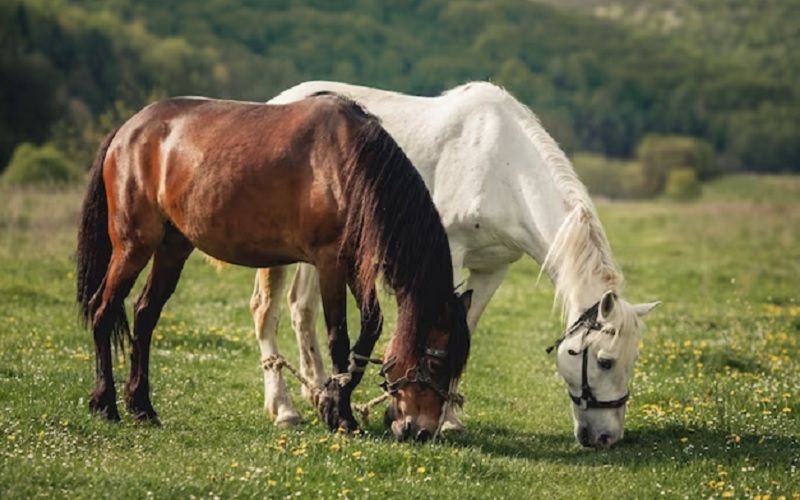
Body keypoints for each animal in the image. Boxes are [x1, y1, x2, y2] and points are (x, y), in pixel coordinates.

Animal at [74, 94, 468, 442]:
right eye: (436, 362)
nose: (422, 431)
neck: (350, 164)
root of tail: (127, 130)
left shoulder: (355, 265)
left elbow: (370, 328)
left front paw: (332, 402)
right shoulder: (329, 263)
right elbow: (338, 338)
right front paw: (341, 416)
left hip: (173, 249)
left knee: (144, 316)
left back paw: (142, 407)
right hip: (133, 246)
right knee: (103, 311)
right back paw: (105, 403)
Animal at [252, 82, 664, 450]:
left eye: (633, 359)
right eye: (605, 362)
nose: (607, 437)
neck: (503, 168)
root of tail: (280, 100)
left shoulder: (493, 268)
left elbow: (465, 326)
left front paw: (447, 417)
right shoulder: (444, 255)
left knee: (301, 308)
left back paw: (318, 390)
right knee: (266, 310)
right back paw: (284, 408)